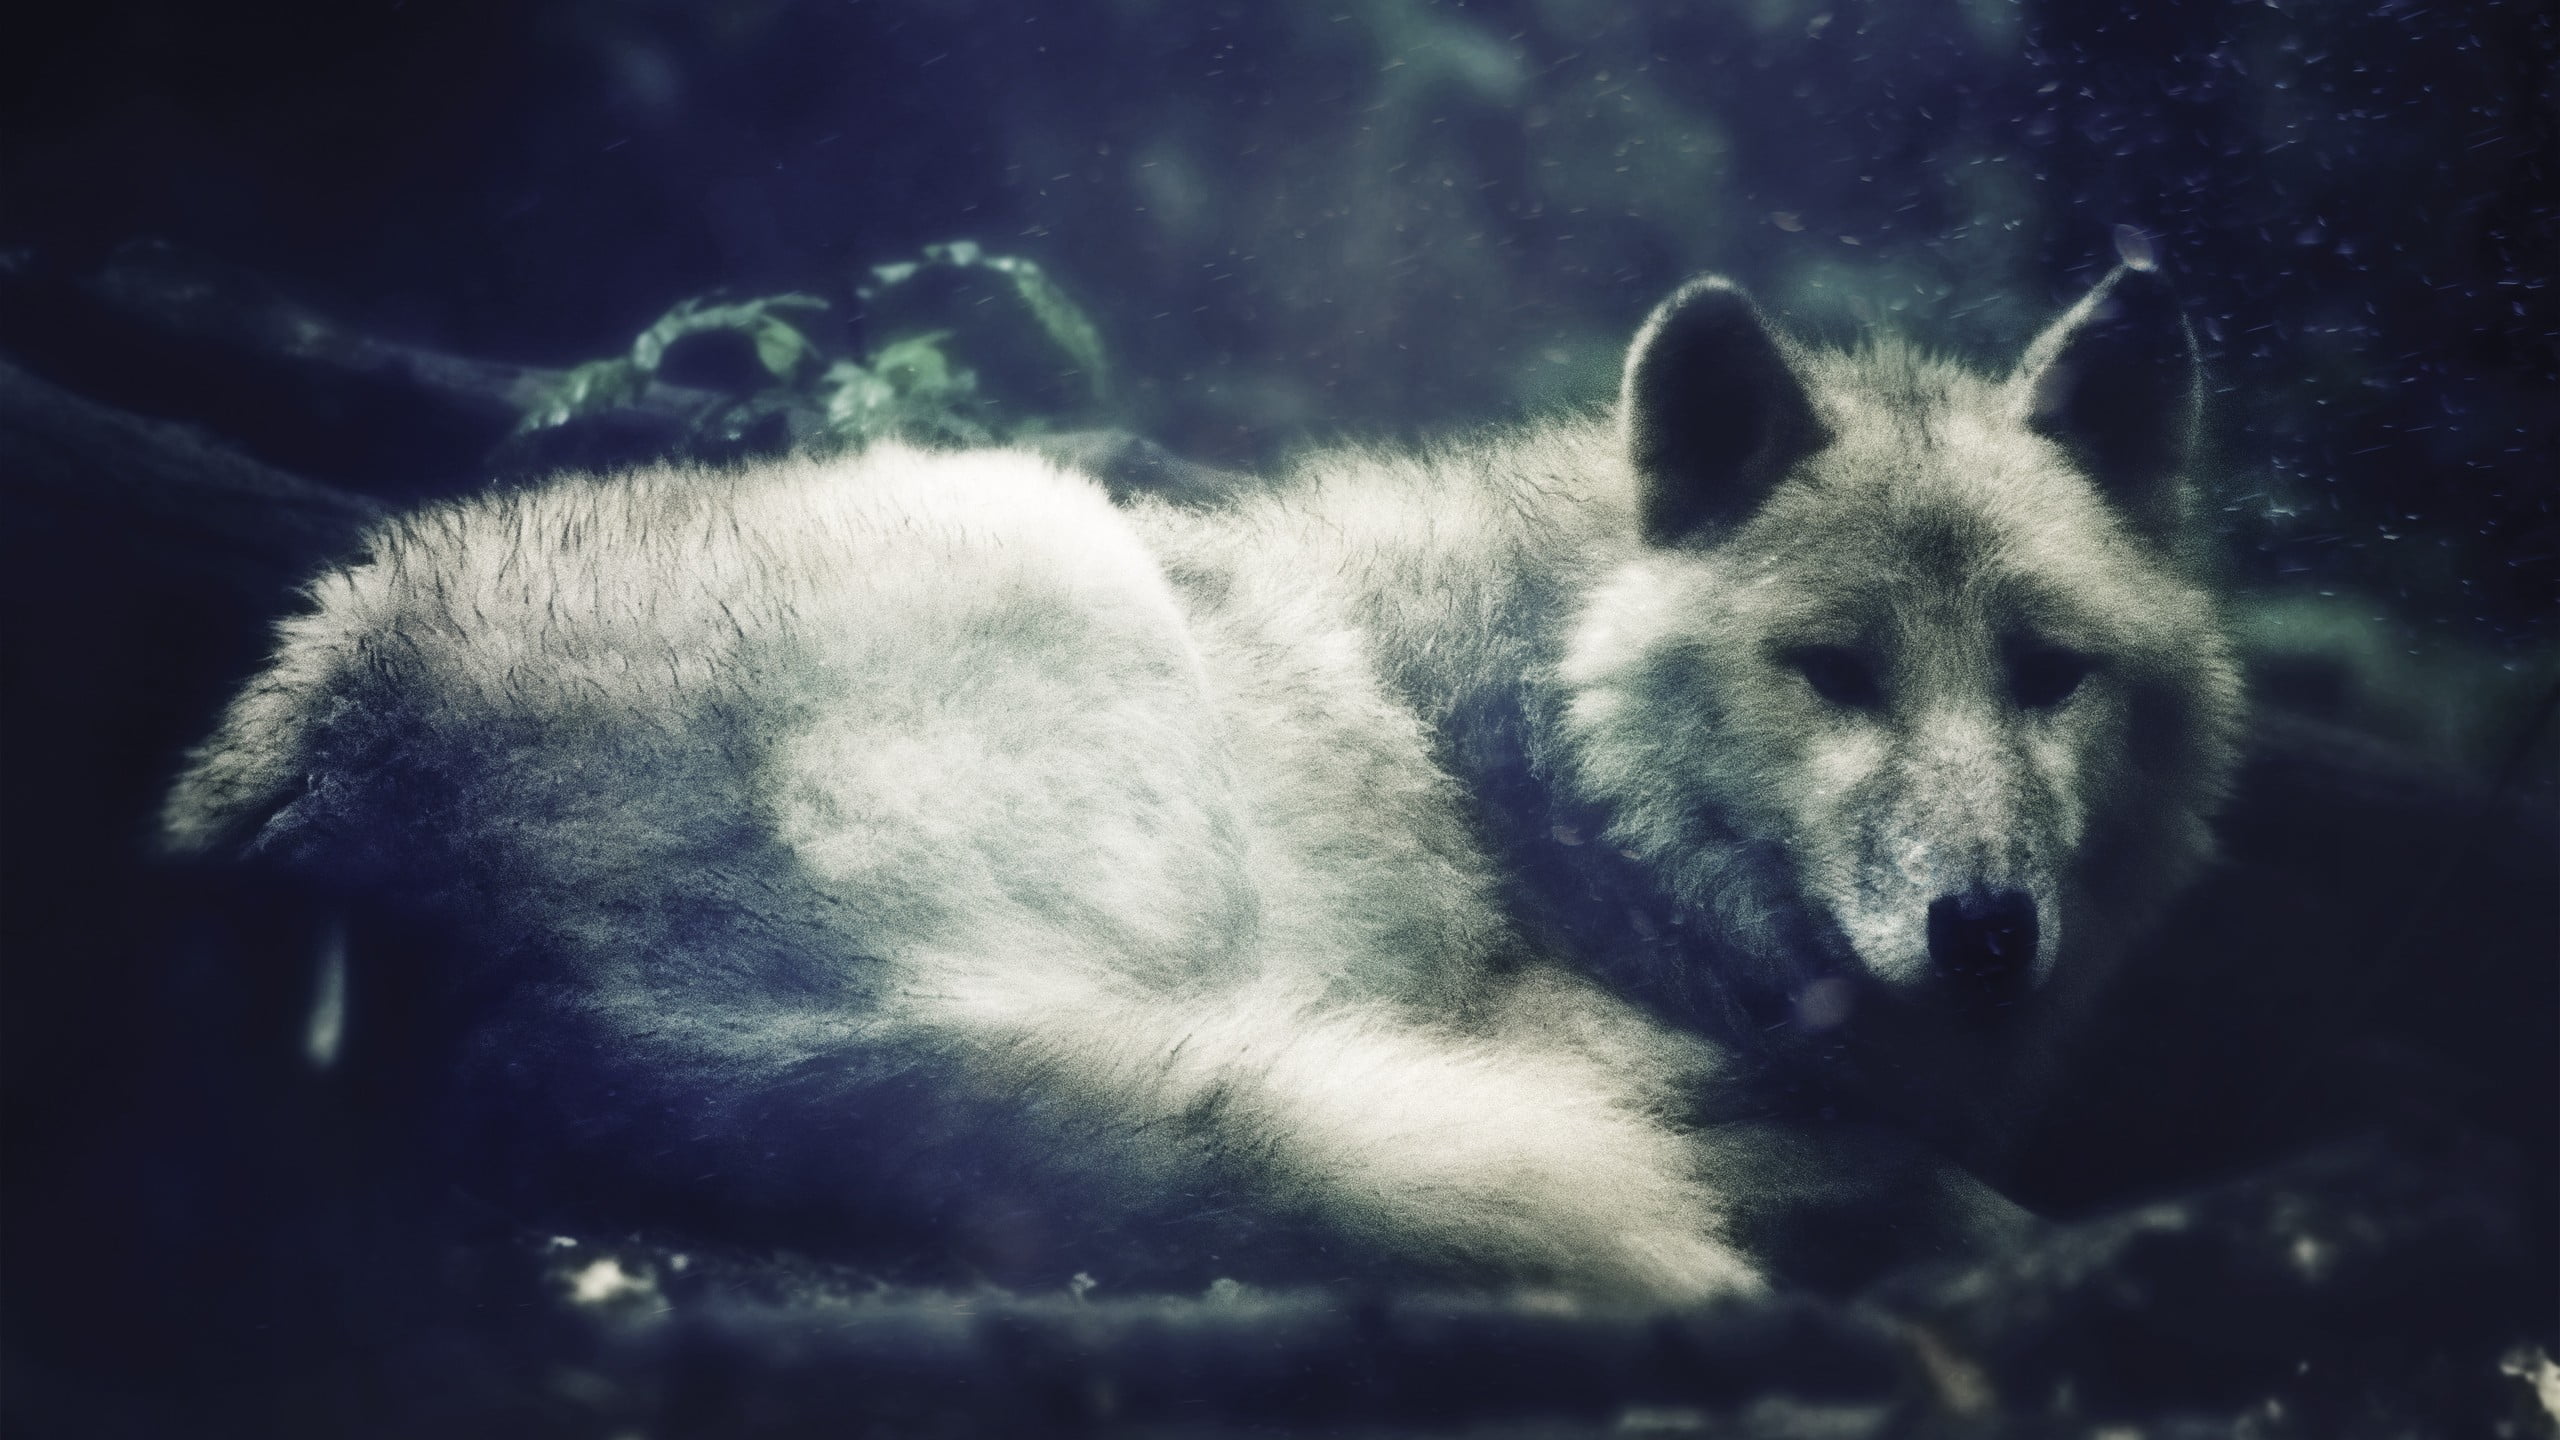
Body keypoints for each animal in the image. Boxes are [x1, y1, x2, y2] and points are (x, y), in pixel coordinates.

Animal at [161, 263, 2240, 1300]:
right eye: (1832, 674)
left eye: (2050, 674)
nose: (1987, 932)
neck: (1546, 745)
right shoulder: (1559, 1030)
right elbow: (1913, 1181)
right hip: (1077, 617)